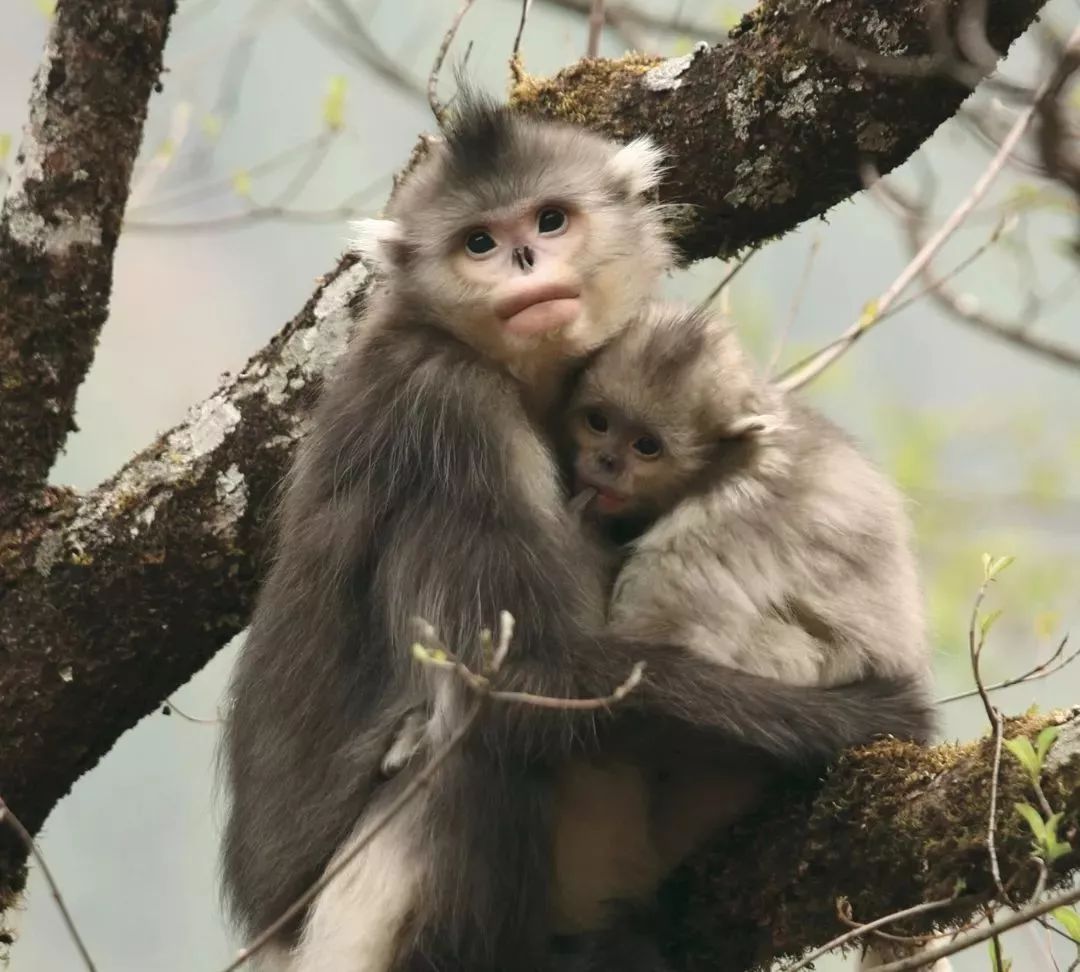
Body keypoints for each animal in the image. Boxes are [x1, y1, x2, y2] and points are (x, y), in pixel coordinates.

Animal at [217, 92, 928, 972]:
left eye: (550, 220)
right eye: (479, 242)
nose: (524, 259)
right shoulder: (449, 409)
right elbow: (525, 675)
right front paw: (882, 716)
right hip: (357, 924)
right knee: (472, 734)